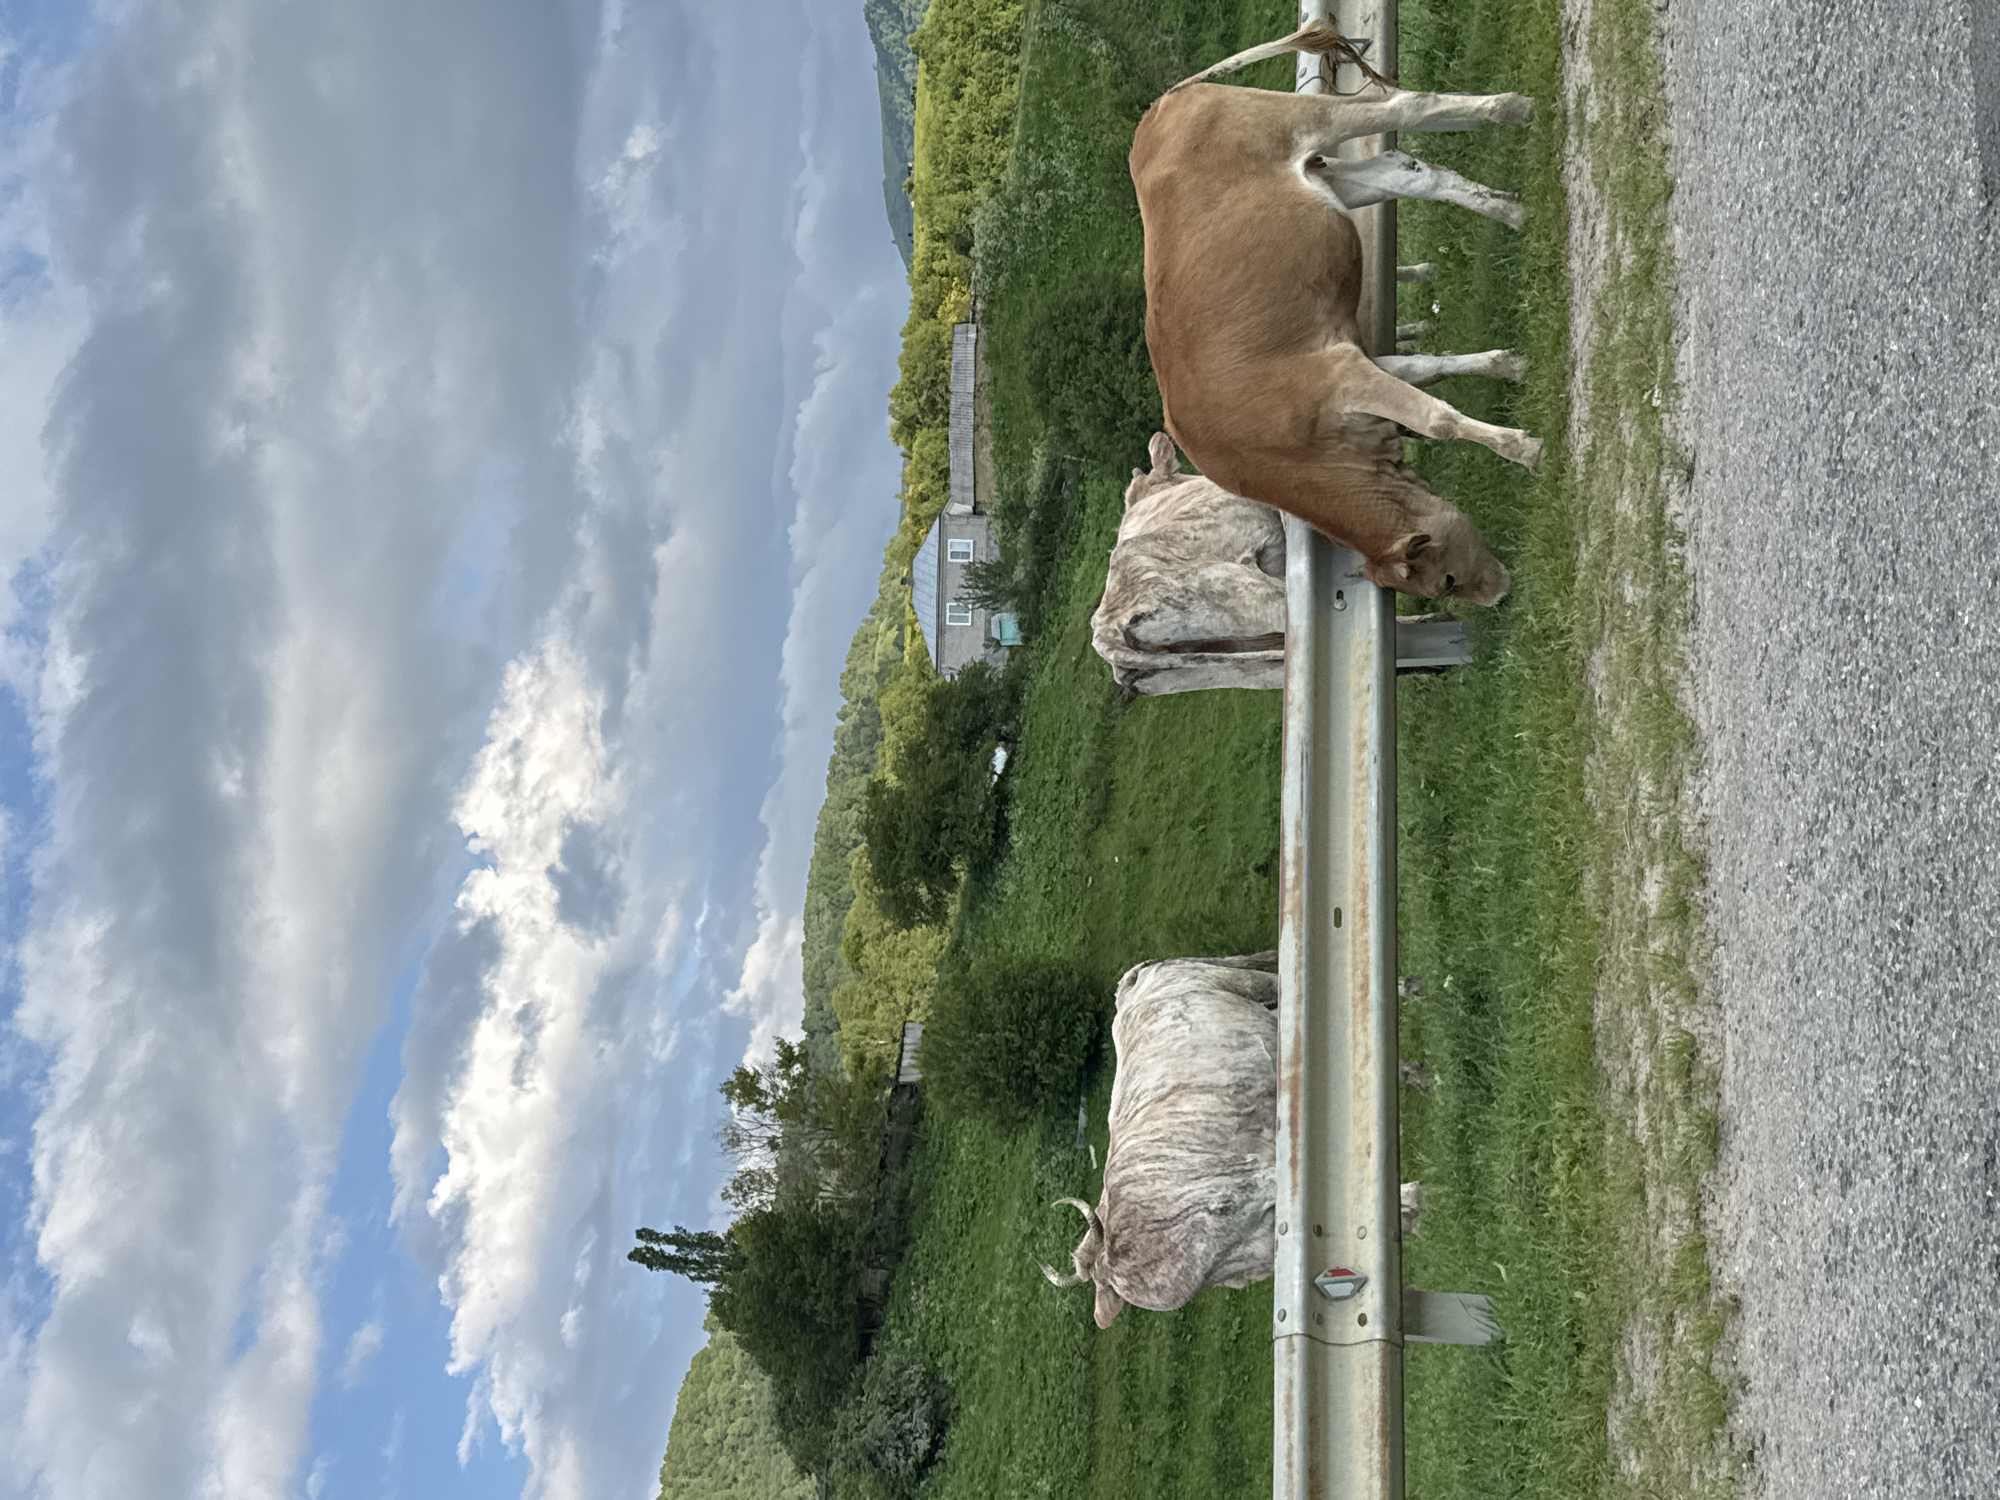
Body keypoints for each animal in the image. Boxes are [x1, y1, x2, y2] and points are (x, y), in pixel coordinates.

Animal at [1040, 954, 1421, 1326]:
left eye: (1221, 1207)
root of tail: (1130, 984)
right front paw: (1406, 1215)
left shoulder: (1250, 1184)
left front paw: (1409, 1199)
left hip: (1236, 981)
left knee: (1275, 980)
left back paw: (1407, 989)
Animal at [1130, 19, 1544, 606]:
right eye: (1445, 586)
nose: (1499, 595)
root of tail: (1160, 107)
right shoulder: (1351, 354)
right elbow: (1428, 368)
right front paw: (1509, 365)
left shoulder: (1341, 375)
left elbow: (1437, 419)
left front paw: (1525, 450)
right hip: (1333, 183)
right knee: (1410, 171)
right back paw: (1512, 211)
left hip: (1305, 121)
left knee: (1404, 106)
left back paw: (1514, 109)